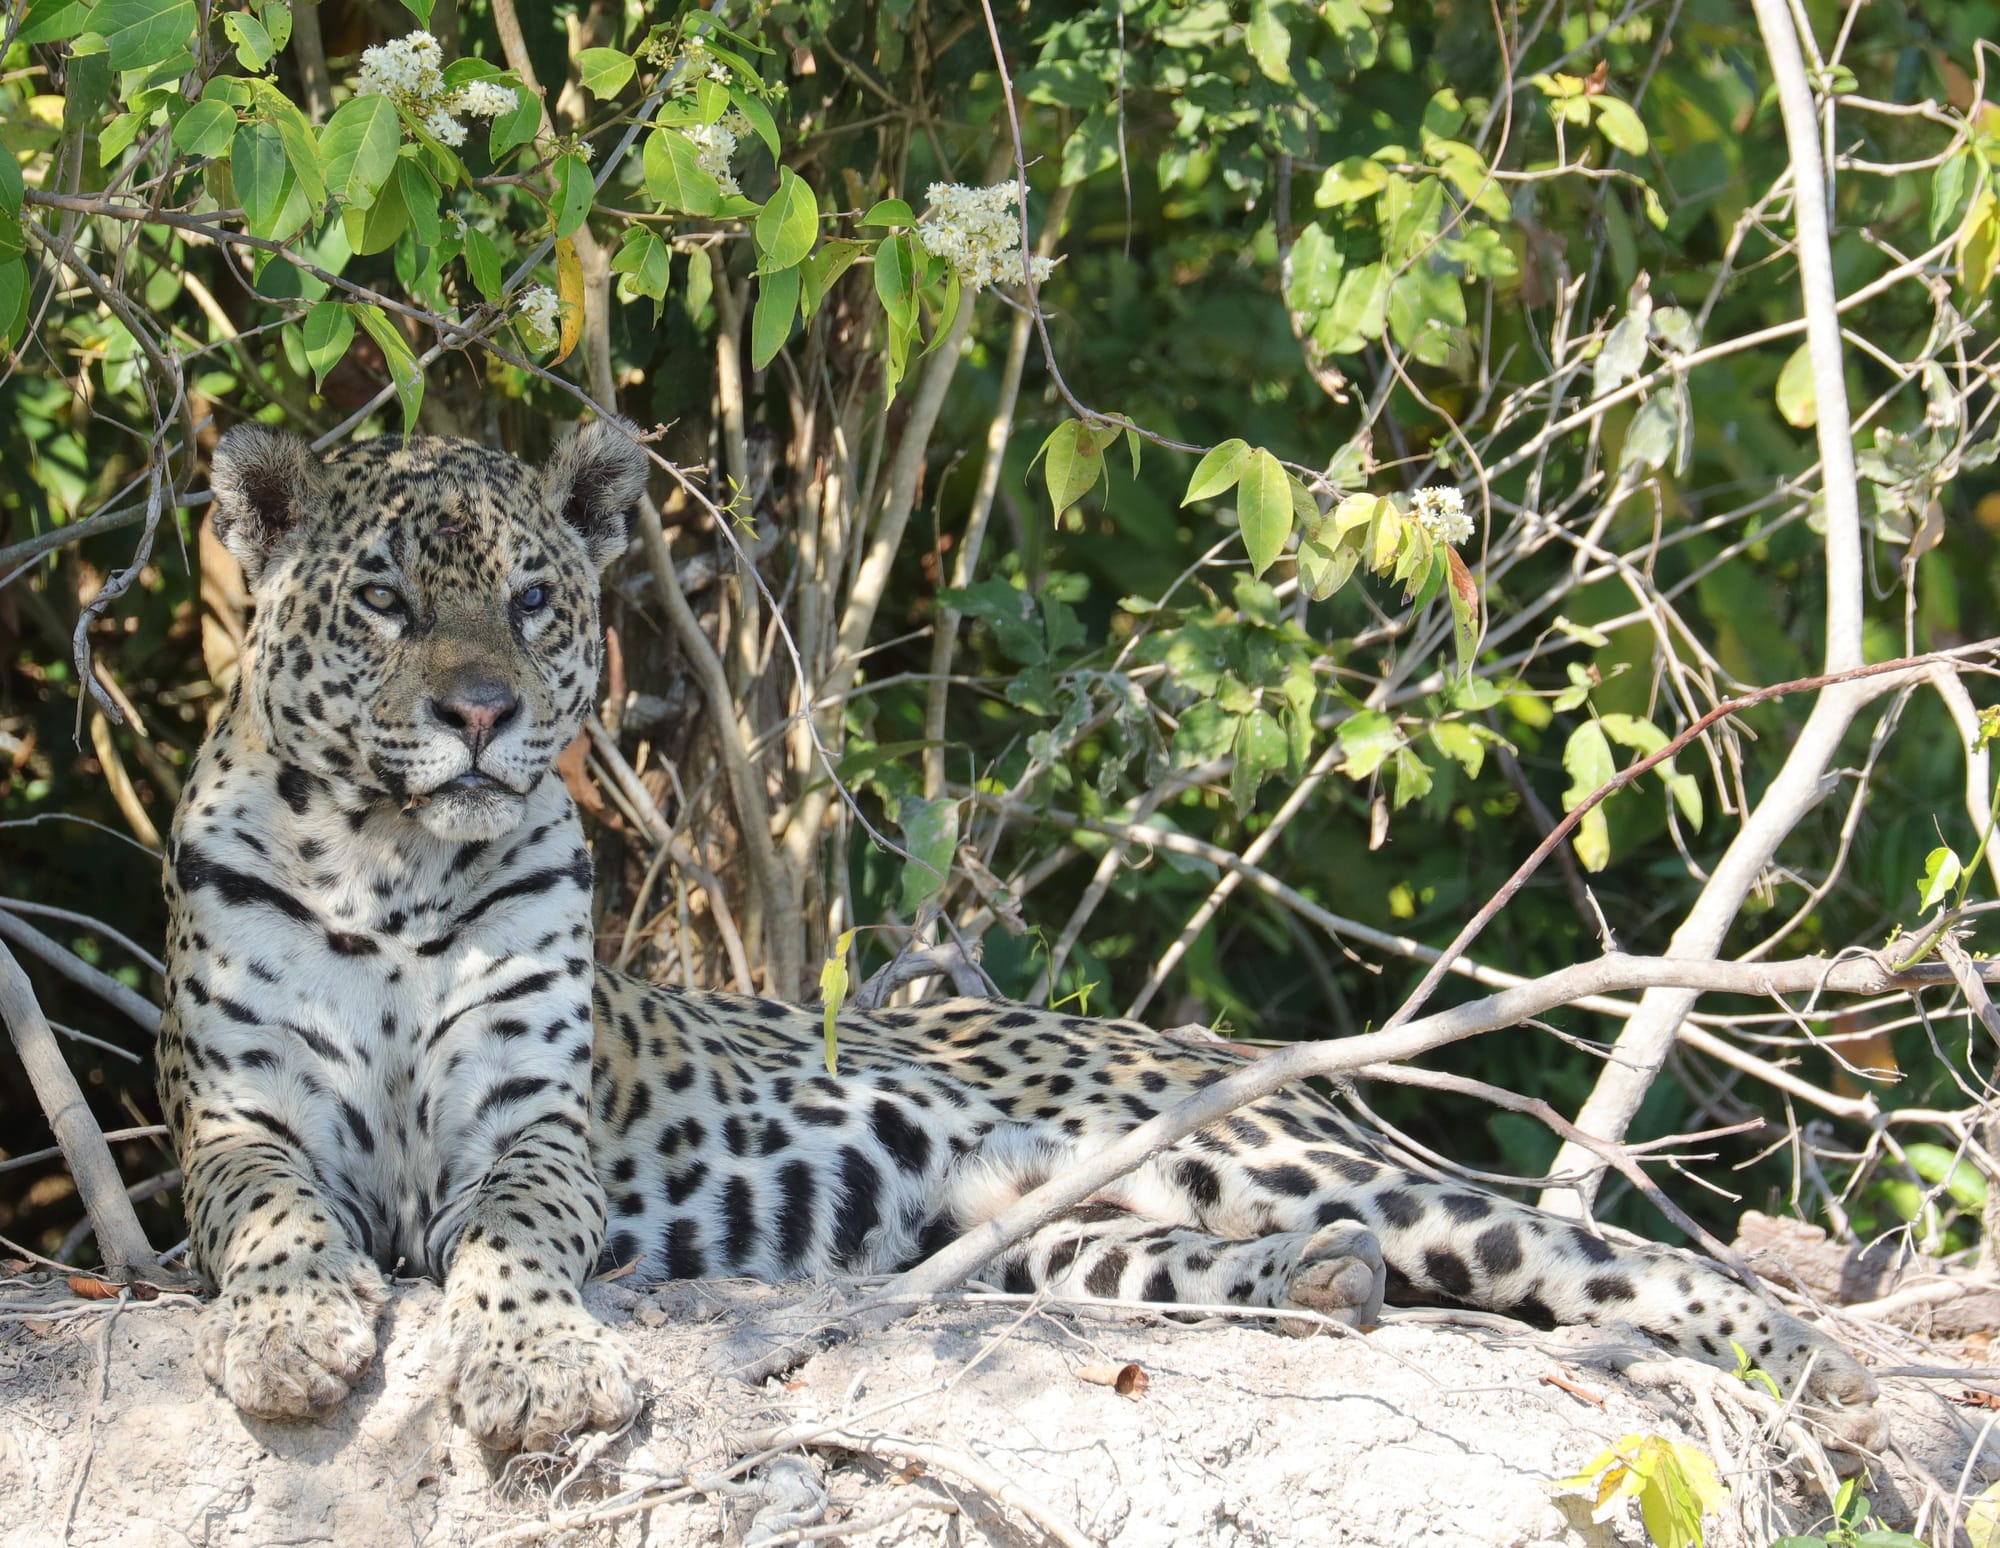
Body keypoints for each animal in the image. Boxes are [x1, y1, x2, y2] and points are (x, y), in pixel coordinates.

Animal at [157, 420, 1886, 1456]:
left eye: (531, 601)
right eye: (385, 603)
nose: (481, 715)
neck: (391, 867)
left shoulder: (535, 1127)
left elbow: (517, 1237)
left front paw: (535, 1366)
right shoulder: (233, 1119)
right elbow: (273, 1218)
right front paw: (294, 1333)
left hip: (1258, 1145)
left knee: (1593, 1248)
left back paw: (1821, 1366)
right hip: (1044, 1224)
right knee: (1217, 1265)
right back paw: (1321, 1282)